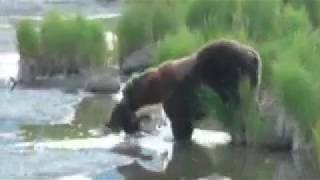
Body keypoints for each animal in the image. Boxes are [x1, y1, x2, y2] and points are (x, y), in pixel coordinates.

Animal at [106, 40, 262, 141]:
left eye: (126, 93)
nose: (112, 123)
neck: (157, 88)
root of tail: (253, 55)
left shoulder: (178, 95)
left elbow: (180, 121)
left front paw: (178, 137)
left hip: (228, 72)